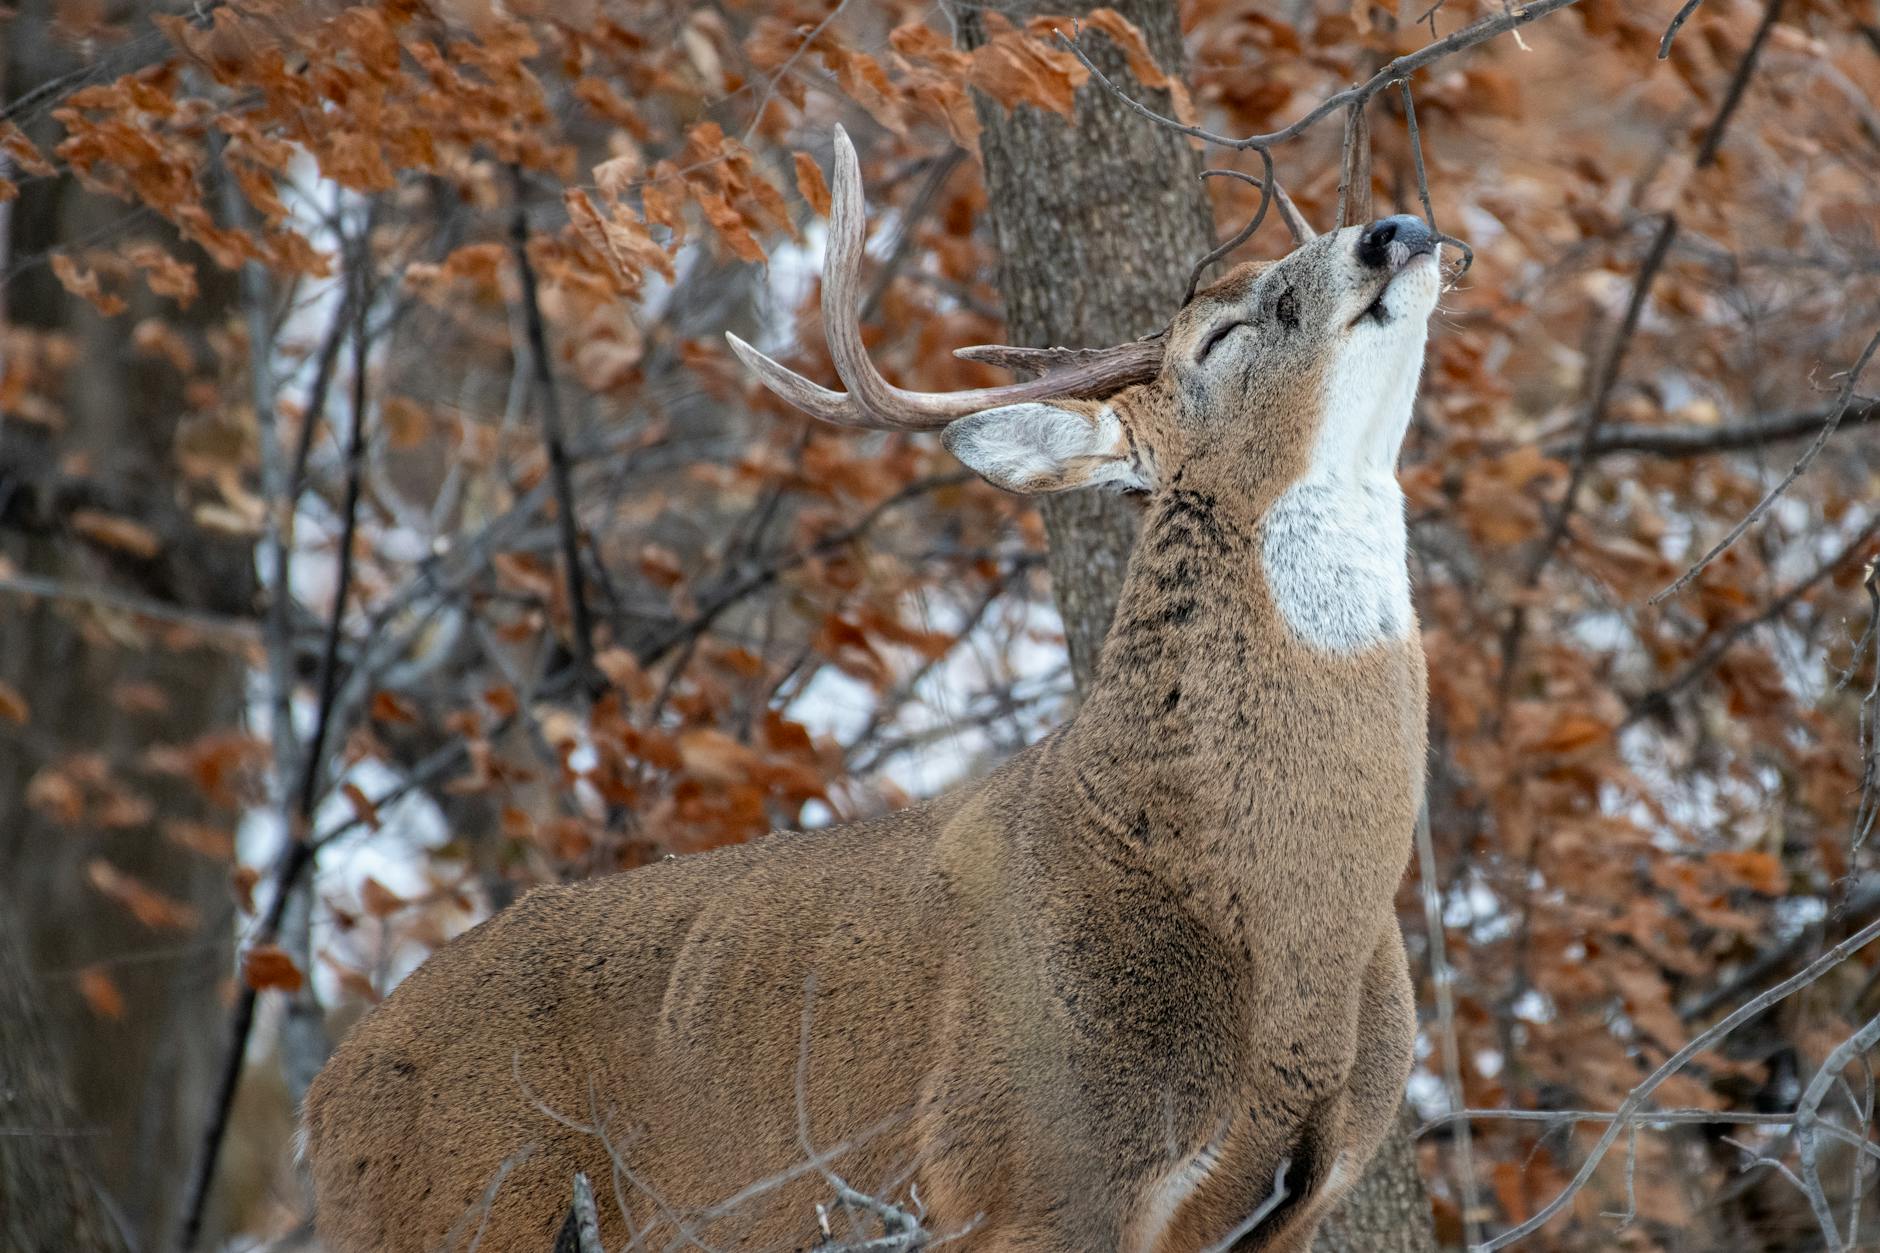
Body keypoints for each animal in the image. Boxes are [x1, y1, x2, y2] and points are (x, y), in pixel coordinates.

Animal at [302, 125, 1440, 1253]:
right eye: (1218, 336)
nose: (1394, 230)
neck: (1286, 922)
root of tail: (330, 1093)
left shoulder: (1294, 1199)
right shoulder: (1027, 1170)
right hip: (457, 1207)